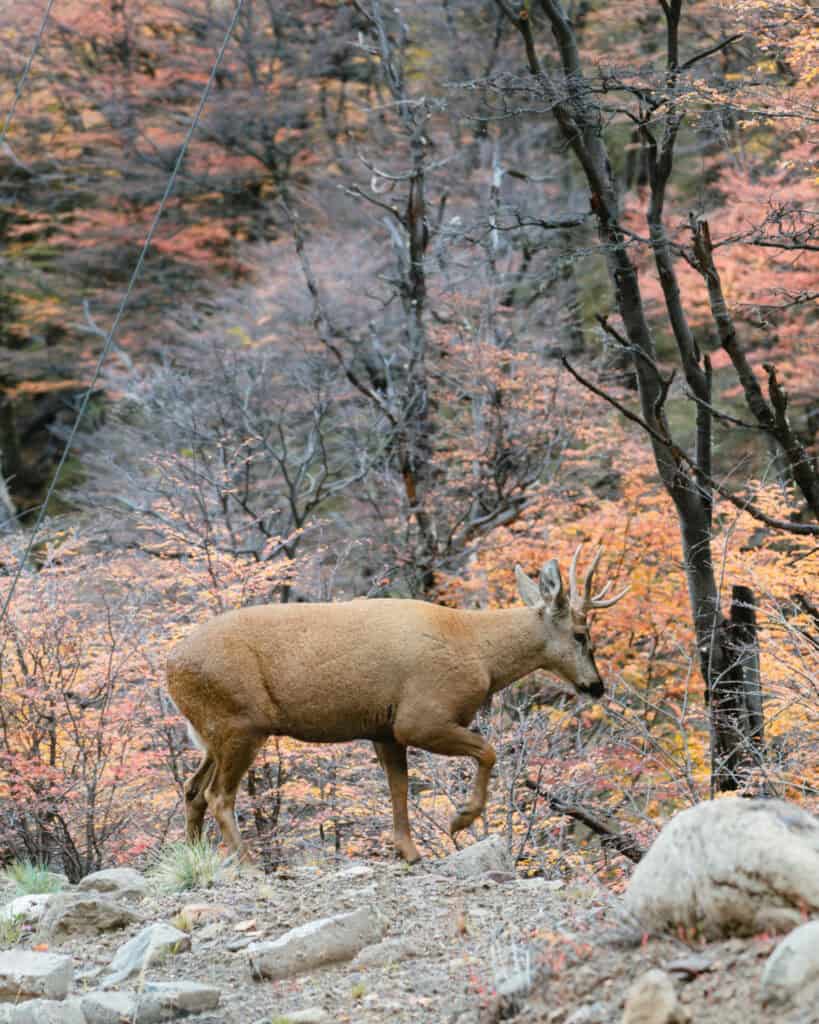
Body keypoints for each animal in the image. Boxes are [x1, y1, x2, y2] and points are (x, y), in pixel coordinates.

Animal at [166, 543, 628, 864]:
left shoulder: (384, 730)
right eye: (581, 635)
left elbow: (399, 789)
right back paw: (249, 865)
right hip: (240, 723)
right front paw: (460, 818)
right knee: (218, 796)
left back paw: (196, 859)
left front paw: (408, 851)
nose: (596, 686)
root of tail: (169, 668)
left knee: (192, 790)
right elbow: (488, 751)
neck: (478, 650)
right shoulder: (420, 716)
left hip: (215, 731)